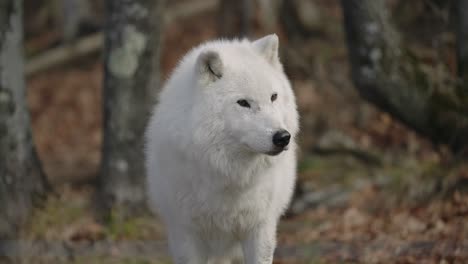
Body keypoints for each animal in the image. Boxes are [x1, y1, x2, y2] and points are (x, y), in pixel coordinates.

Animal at [146, 34, 298, 262]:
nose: (282, 137)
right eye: (243, 103)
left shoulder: (260, 228)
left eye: (273, 97)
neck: (229, 173)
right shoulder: (186, 234)